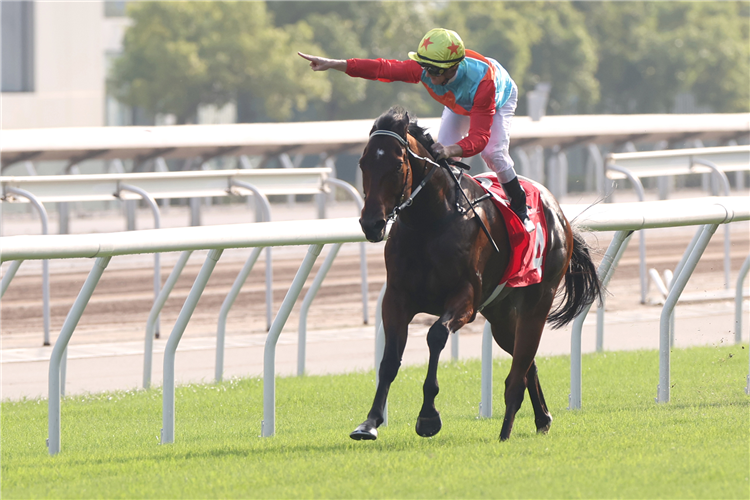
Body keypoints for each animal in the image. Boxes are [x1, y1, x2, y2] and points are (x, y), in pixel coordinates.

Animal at [354, 106, 604, 442]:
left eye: (396, 165)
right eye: (363, 162)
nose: (371, 223)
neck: (430, 222)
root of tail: (559, 213)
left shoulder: (466, 299)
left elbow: (436, 335)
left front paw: (428, 416)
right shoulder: (396, 298)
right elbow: (390, 359)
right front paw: (370, 422)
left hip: (537, 301)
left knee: (519, 369)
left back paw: (506, 432)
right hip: (500, 314)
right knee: (527, 363)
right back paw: (542, 418)